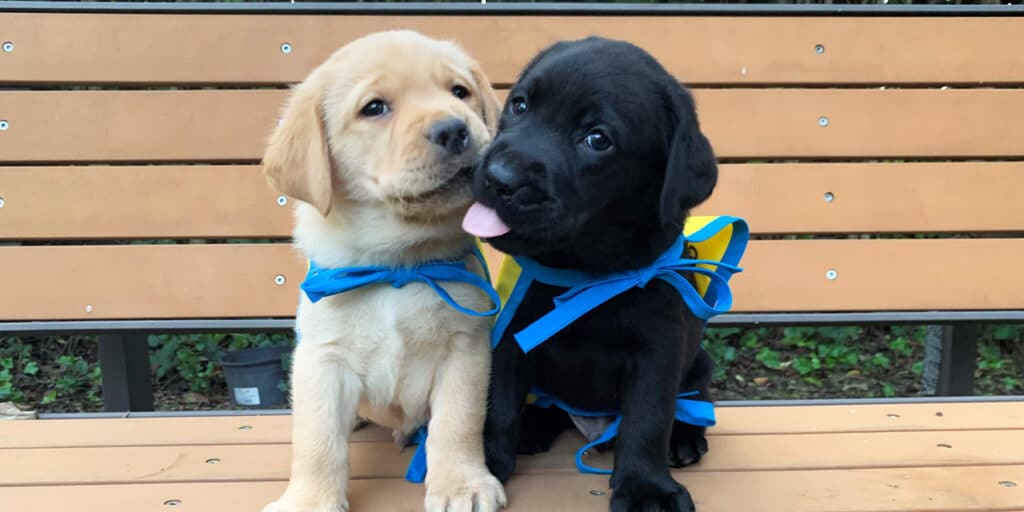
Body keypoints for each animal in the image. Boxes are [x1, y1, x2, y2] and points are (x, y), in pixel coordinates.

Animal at [262, 30, 505, 512]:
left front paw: (461, 484)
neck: (399, 263)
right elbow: (316, 438)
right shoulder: (323, 356)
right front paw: (310, 499)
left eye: (459, 92)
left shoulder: (465, 349)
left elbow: (458, 421)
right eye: (374, 107)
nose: (455, 129)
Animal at [464, 37, 720, 509]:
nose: (498, 177)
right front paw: (483, 463)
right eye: (519, 104)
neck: (585, 271)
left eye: (597, 139)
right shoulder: (509, 334)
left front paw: (645, 486)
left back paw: (685, 437)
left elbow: (647, 419)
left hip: (698, 362)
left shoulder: (659, 348)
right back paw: (534, 426)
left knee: (693, 400)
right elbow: (499, 402)